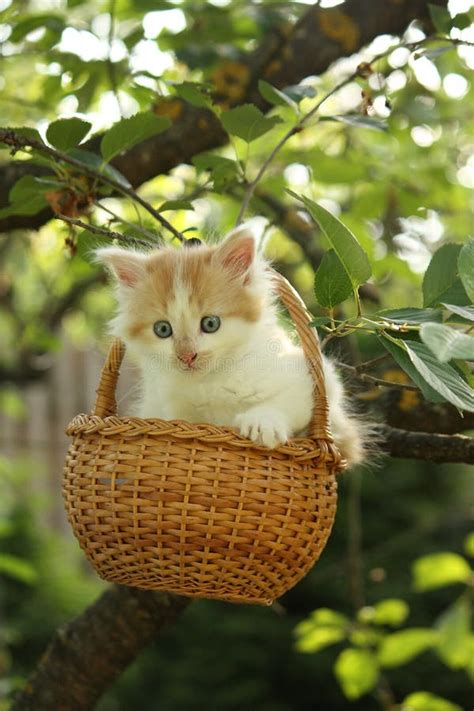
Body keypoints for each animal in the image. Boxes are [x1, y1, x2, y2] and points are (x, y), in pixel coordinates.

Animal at [95, 224, 362, 468]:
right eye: (162, 330)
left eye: (210, 323)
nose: (187, 356)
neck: (213, 382)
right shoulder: (167, 407)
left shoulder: (313, 376)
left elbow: (289, 401)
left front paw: (262, 424)